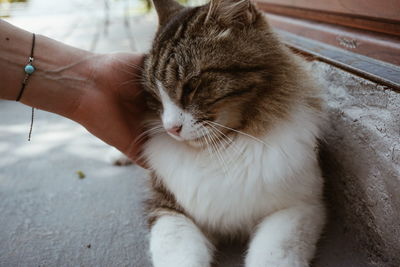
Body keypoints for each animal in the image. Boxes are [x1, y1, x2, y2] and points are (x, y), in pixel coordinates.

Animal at [138, 1, 324, 266]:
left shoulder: (300, 206)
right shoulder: (167, 207)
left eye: (192, 86)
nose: (170, 128)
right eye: (154, 96)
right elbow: (180, 255)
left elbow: (271, 256)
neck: (223, 151)